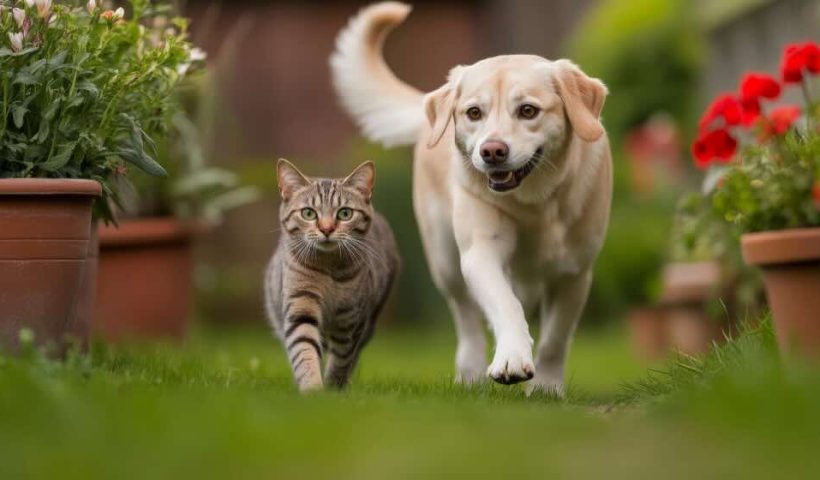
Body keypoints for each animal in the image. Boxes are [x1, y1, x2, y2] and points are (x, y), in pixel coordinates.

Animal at [264, 158, 402, 390]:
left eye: (345, 213)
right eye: (308, 213)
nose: (326, 229)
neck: (328, 271)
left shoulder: (351, 320)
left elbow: (342, 360)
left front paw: (332, 388)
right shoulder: (300, 306)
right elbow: (305, 351)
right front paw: (312, 388)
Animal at [332, 2, 608, 394]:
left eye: (528, 110)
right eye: (474, 113)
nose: (491, 151)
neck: (534, 203)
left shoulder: (574, 274)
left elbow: (555, 338)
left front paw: (546, 386)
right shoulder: (480, 254)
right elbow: (506, 306)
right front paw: (511, 358)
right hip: (445, 261)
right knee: (466, 318)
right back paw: (472, 372)